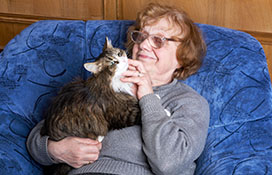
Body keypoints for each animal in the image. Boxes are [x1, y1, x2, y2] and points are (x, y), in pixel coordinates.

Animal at [42, 37, 142, 175]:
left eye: (119, 54)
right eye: (112, 63)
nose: (123, 60)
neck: (110, 80)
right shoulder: (123, 114)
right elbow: (141, 112)